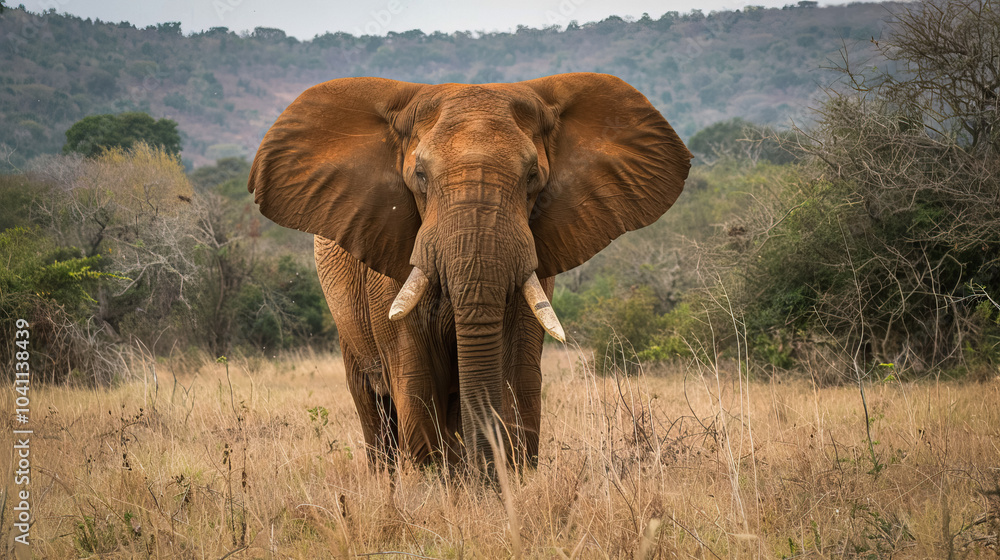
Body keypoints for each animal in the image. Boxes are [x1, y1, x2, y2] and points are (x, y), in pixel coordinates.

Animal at [248, 72, 691, 473]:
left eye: (532, 177)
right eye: (420, 177)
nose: (484, 473)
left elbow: (517, 377)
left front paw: (506, 483)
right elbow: (417, 381)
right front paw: (440, 488)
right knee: (373, 406)